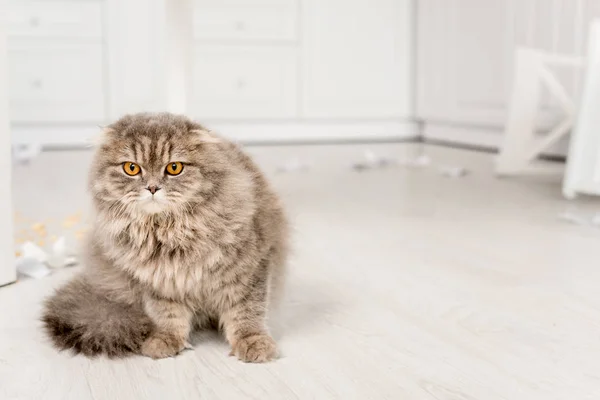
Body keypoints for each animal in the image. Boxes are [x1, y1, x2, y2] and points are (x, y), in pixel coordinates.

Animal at [40, 112, 288, 362]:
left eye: (174, 168)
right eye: (131, 168)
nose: (152, 188)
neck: (169, 233)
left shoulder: (250, 269)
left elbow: (247, 312)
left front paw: (253, 342)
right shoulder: (158, 282)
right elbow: (168, 315)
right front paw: (166, 340)